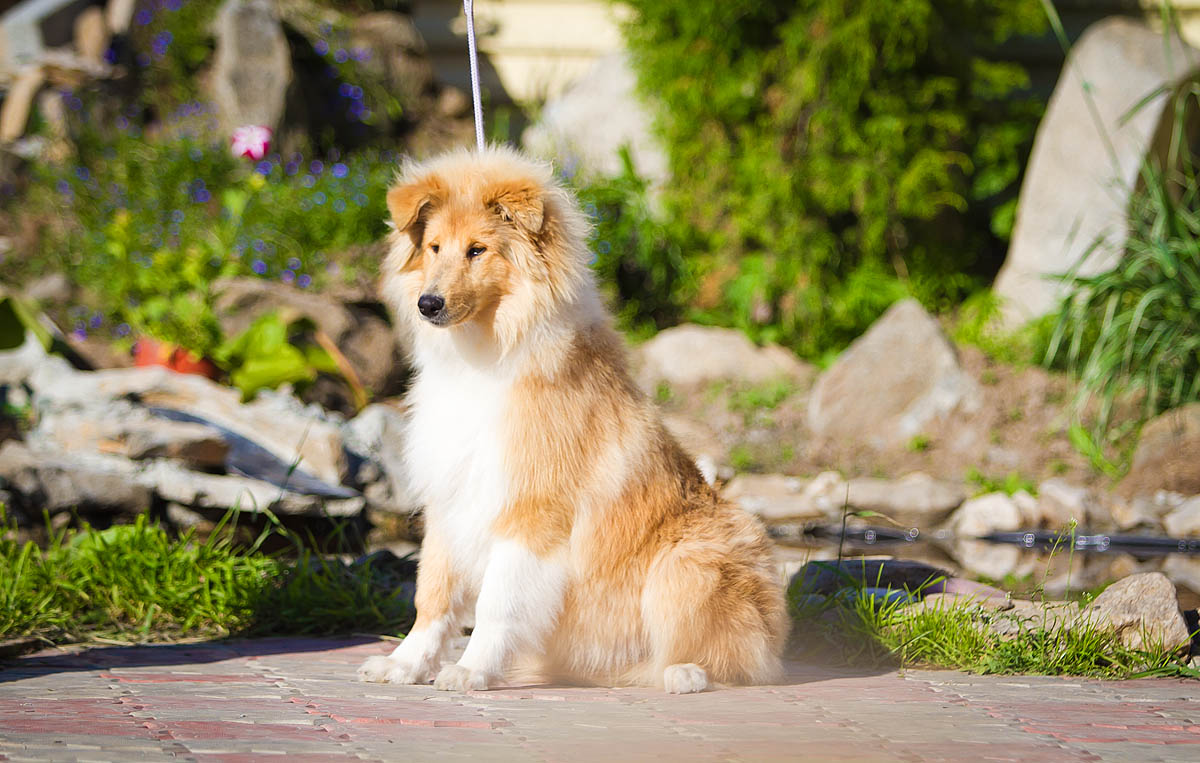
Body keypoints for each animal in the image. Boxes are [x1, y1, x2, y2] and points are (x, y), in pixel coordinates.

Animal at [355, 144, 787, 691]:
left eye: (477, 250)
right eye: (434, 247)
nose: (427, 304)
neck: (485, 353)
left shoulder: (531, 511)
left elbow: (497, 604)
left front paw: (471, 670)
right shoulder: (449, 501)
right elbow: (432, 596)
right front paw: (405, 664)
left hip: (687, 561)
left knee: (739, 661)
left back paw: (684, 673)